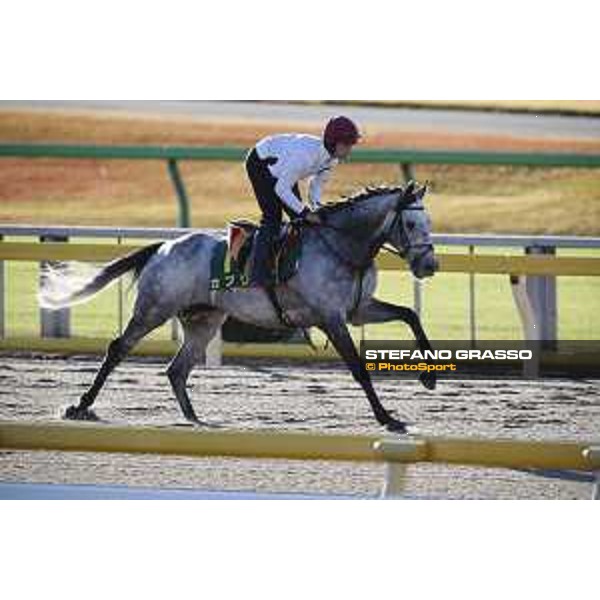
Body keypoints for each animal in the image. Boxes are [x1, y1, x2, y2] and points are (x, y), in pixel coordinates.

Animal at [39, 182, 438, 432]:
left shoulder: (357, 310)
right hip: (154, 309)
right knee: (118, 348)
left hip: (204, 320)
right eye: (411, 222)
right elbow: (359, 369)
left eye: (429, 222)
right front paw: (387, 418)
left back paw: (194, 418)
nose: (429, 266)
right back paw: (80, 406)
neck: (341, 246)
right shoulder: (331, 318)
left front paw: (429, 377)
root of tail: (162, 248)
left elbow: (410, 315)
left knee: (177, 369)